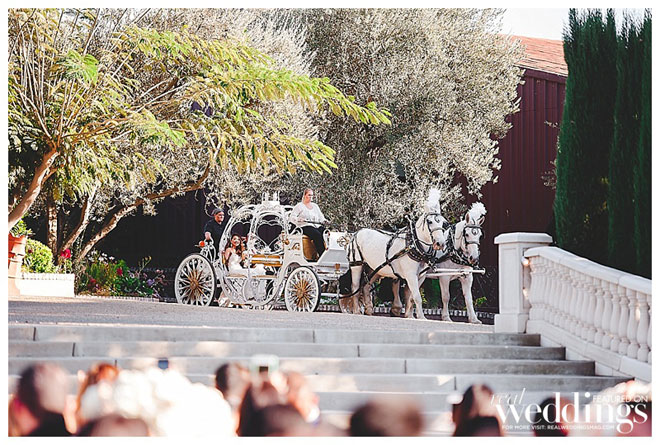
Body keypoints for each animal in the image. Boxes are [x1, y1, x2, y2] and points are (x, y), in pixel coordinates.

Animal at [339, 189, 449, 320]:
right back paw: (356, 310)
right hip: (357, 265)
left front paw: (410, 316)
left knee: (365, 287)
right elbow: (417, 296)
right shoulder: (410, 275)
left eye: (443, 223)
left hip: (374, 269)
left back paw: (369, 310)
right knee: (355, 287)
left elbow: (412, 297)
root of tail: (356, 233)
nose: (440, 243)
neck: (414, 244)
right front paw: (422, 317)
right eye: (429, 221)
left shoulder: (421, 276)